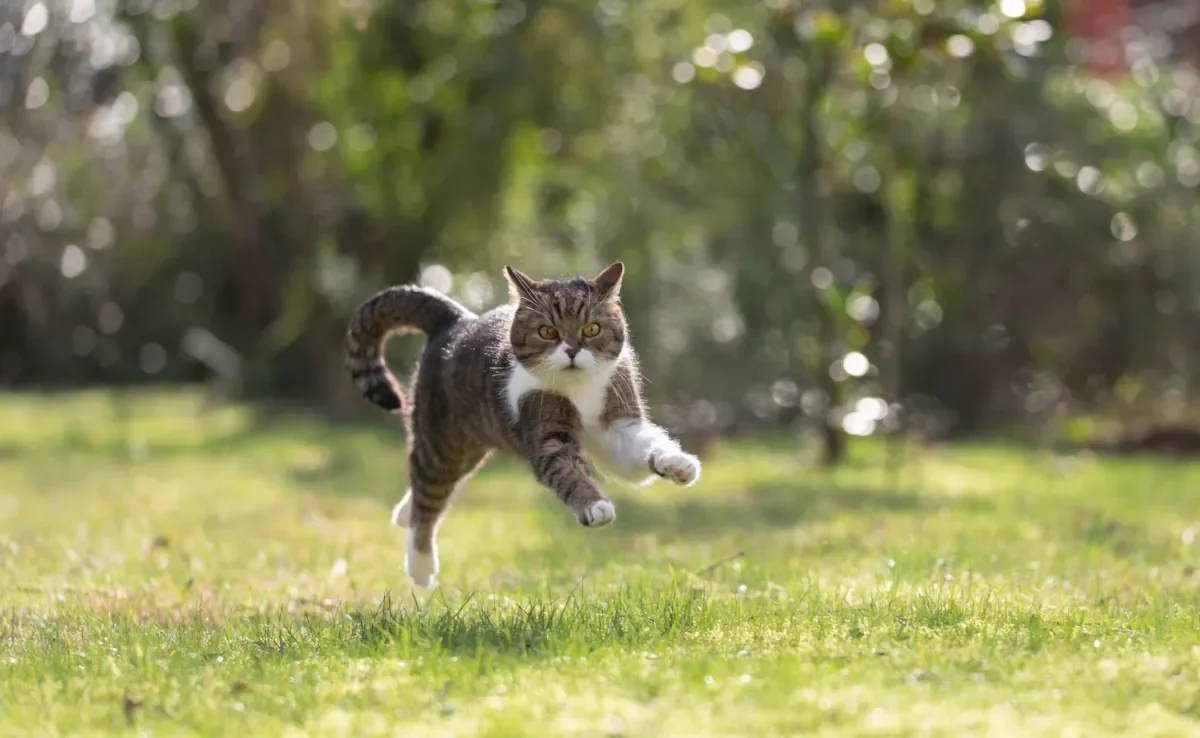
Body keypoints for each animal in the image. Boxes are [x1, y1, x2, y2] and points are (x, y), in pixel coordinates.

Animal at [345, 262, 700, 585]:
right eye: (548, 332)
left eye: (591, 330)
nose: (572, 351)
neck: (580, 389)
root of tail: (458, 318)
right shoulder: (544, 430)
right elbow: (565, 469)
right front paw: (594, 504)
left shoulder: (616, 425)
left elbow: (642, 449)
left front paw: (678, 463)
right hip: (443, 440)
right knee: (428, 493)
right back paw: (420, 566)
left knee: (429, 486)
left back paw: (402, 515)